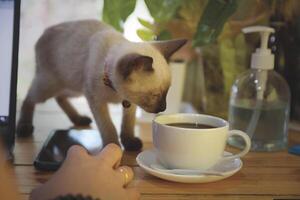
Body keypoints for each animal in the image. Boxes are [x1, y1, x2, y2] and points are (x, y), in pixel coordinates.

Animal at [16, 19, 186, 151]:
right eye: (155, 95)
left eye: (167, 93)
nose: (163, 108)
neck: (116, 92)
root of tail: (46, 30)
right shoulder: (96, 101)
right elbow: (108, 127)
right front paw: (113, 147)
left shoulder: (130, 103)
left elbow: (128, 125)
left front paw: (130, 143)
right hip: (50, 85)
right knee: (28, 99)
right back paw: (24, 127)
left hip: (74, 87)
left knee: (60, 97)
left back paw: (78, 119)